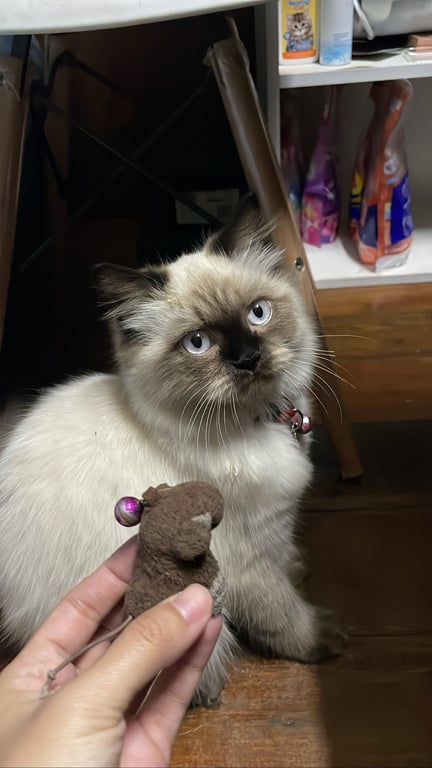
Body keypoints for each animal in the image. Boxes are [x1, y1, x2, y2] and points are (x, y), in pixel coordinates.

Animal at [0, 197, 344, 704]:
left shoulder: (275, 529)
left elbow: (286, 564)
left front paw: (299, 568)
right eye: (198, 343)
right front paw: (325, 638)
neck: (259, 423)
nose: (248, 359)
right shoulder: (246, 560)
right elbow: (283, 615)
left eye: (258, 313)